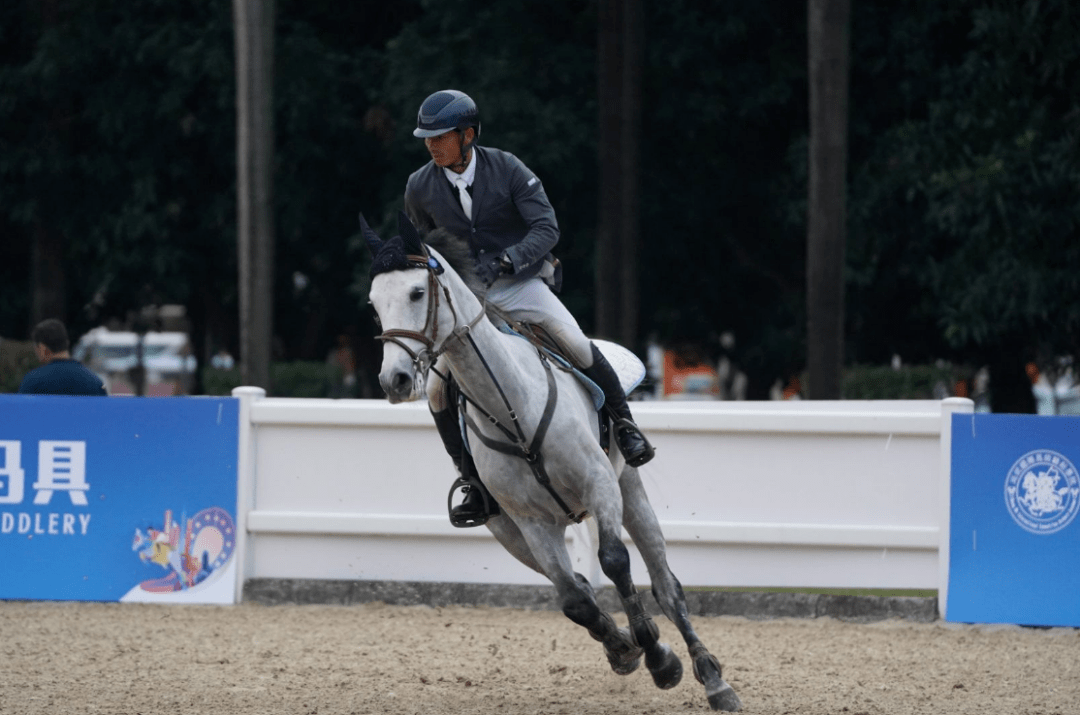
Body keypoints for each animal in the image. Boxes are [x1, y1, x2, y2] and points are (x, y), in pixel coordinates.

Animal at [361, 211, 743, 712]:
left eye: (416, 293)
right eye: (374, 305)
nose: (395, 380)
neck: (512, 407)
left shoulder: (601, 486)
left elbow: (614, 561)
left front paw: (661, 660)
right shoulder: (530, 523)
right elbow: (574, 600)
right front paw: (629, 649)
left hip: (629, 490)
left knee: (666, 585)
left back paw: (712, 678)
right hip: (512, 533)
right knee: (575, 585)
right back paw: (624, 647)